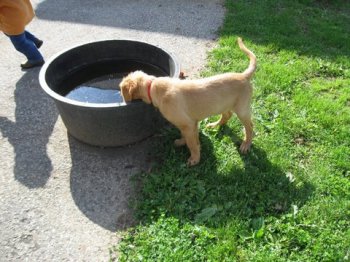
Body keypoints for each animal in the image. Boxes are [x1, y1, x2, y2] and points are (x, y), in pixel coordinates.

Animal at [120, 37, 258, 166]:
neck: (152, 86)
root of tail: (244, 75)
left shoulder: (188, 123)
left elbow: (191, 143)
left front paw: (194, 159)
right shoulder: (192, 123)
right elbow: (190, 137)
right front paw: (183, 143)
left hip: (242, 109)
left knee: (250, 126)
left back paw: (246, 145)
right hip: (223, 104)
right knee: (227, 115)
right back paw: (214, 125)